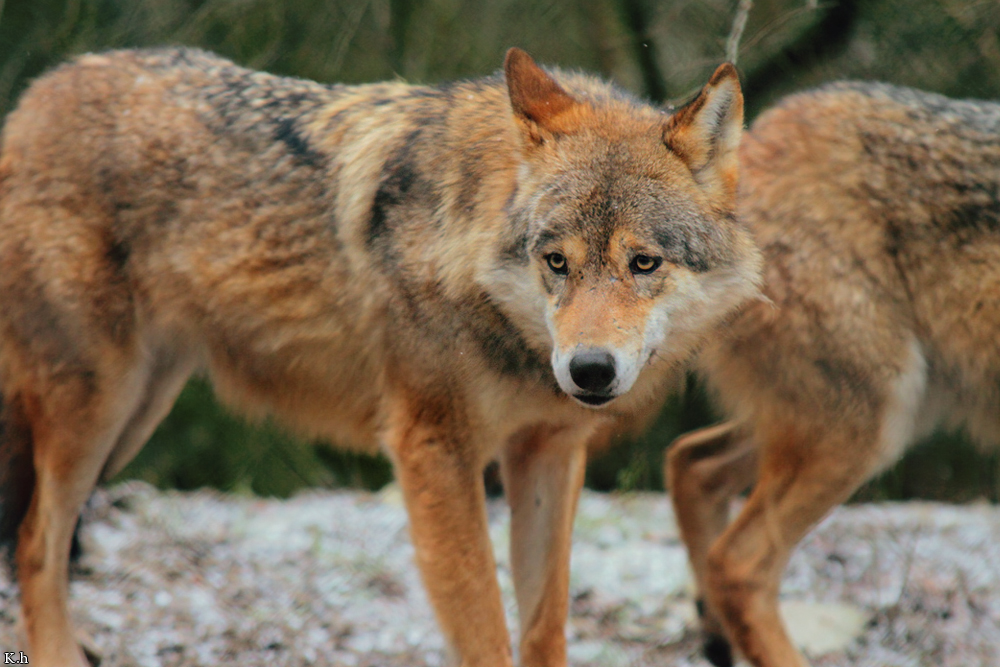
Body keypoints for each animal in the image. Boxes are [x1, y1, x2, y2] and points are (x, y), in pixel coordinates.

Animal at [0, 46, 762, 667]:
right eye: (557, 262)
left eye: (643, 262)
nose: (589, 370)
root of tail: (32, 97)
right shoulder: (434, 450)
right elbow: (485, 630)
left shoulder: (548, 450)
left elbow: (544, 626)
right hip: (96, 409)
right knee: (37, 541)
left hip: (133, 417)